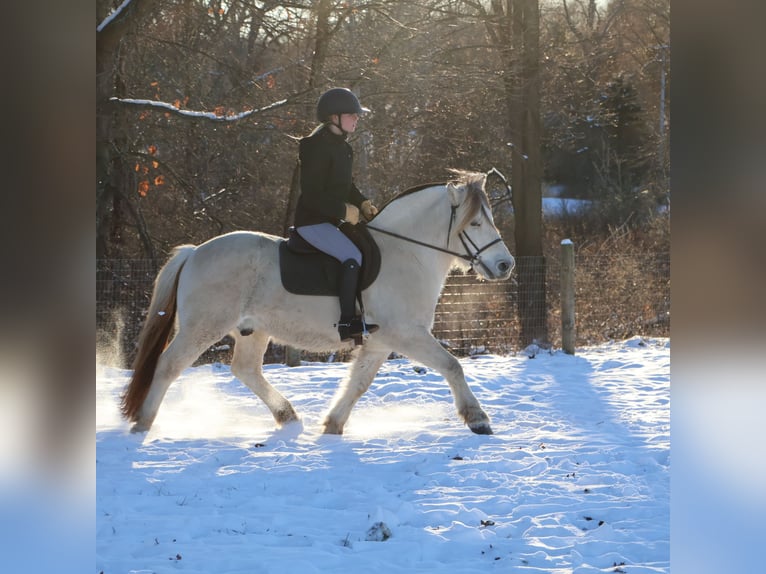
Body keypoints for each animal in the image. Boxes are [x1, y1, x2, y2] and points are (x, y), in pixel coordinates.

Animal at [121, 170, 514, 435]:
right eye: (475, 223)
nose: (505, 265)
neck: (406, 252)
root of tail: (195, 252)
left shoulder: (381, 340)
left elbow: (359, 382)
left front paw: (333, 424)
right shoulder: (406, 334)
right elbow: (452, 366)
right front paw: (477, 418)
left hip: (252, 330)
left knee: (246, 370)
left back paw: (287, 416)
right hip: (203, 327)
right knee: (168, 366)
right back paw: (143, 424)